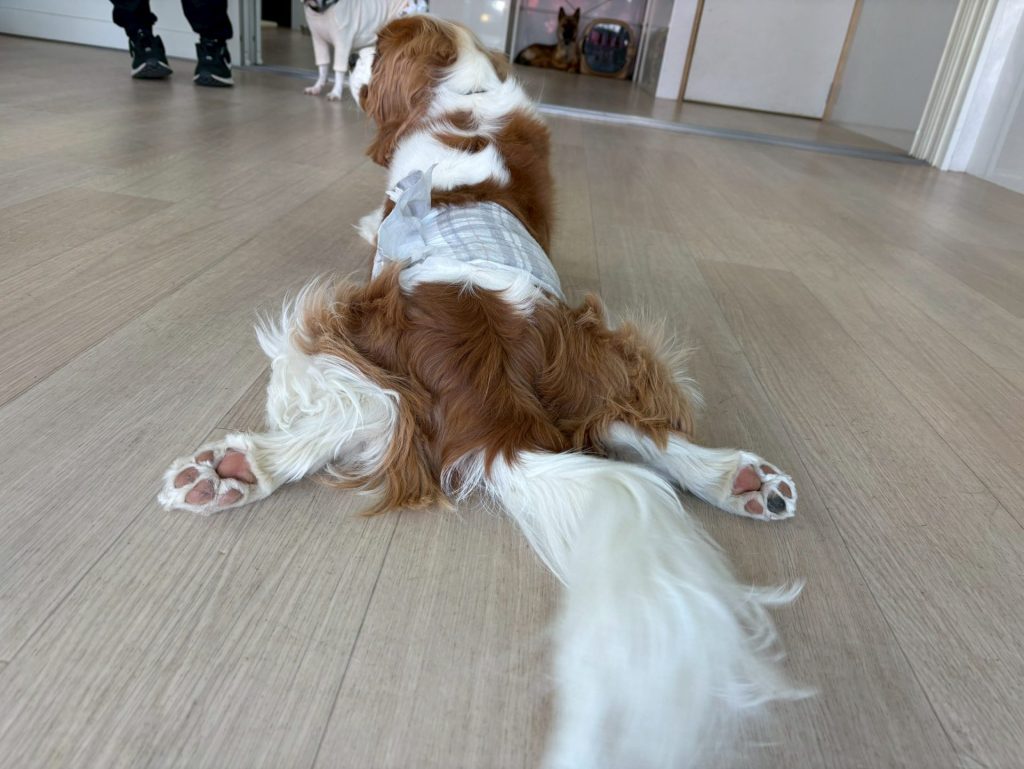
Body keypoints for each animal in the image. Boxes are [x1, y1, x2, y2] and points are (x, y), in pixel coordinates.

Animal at [160, 16, 804, 768]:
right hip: (597, 351)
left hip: (338, 326)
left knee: (365, 407)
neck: (464, 96)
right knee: (628, 425)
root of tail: (500, 406)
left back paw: (233, 470)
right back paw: (738, 478)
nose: (352, 55)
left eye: (376, 46)